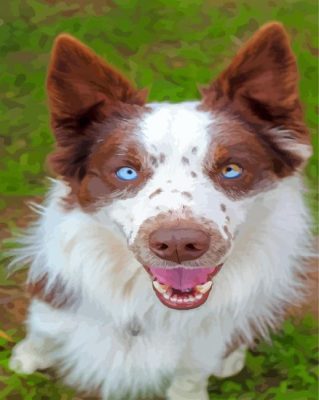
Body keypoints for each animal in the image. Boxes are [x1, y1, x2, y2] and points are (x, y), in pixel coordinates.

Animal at [9, 22, 312, 400]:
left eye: (231, 169)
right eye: (126, 171)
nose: (179, 244)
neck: (148, 308)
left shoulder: (204, 345)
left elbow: (191, 374)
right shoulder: (54, 298)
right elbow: (43, 329)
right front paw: (25, 358)